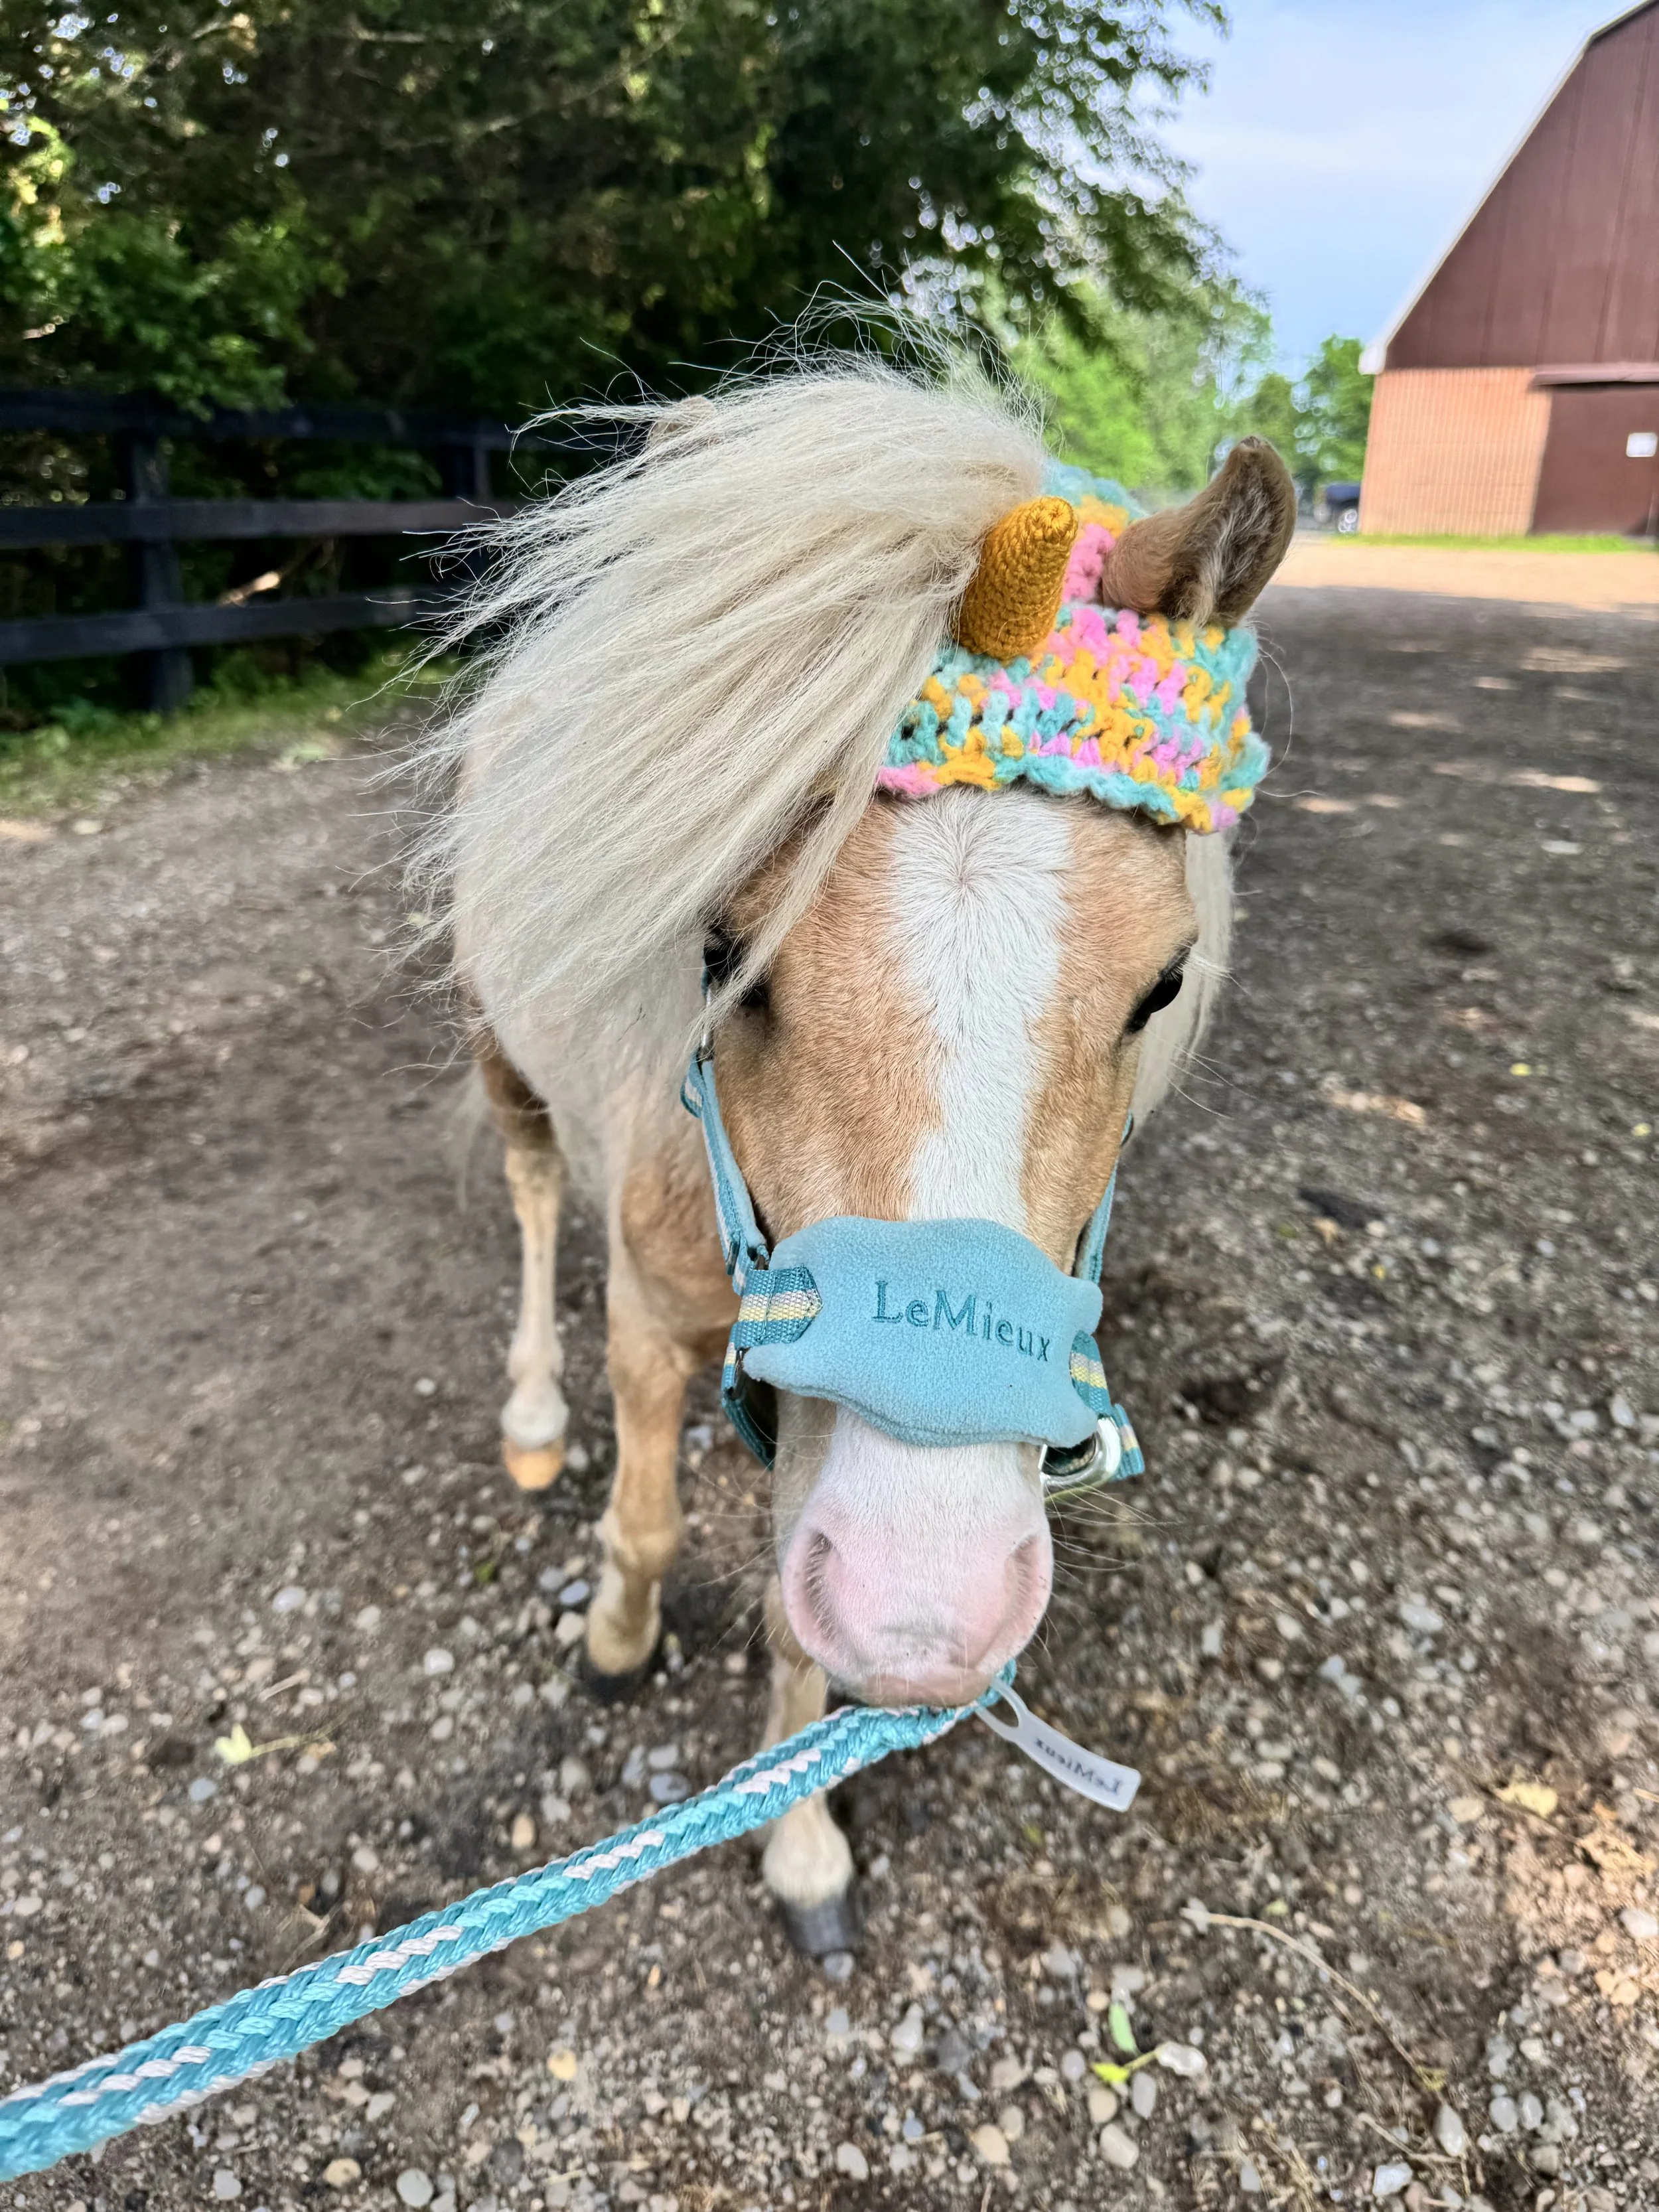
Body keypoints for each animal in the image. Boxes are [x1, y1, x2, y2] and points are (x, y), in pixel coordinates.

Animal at [429, 361, 1295, 1953]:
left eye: (1161, 984)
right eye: (722, 948)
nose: (926, 1606)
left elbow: (792, 1619)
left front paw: (800, 1838)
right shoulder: (647, 1309)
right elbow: (649, 1528)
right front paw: (615, 1635)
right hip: (495, 1039)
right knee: (526, 1193)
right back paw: (528, 1417)